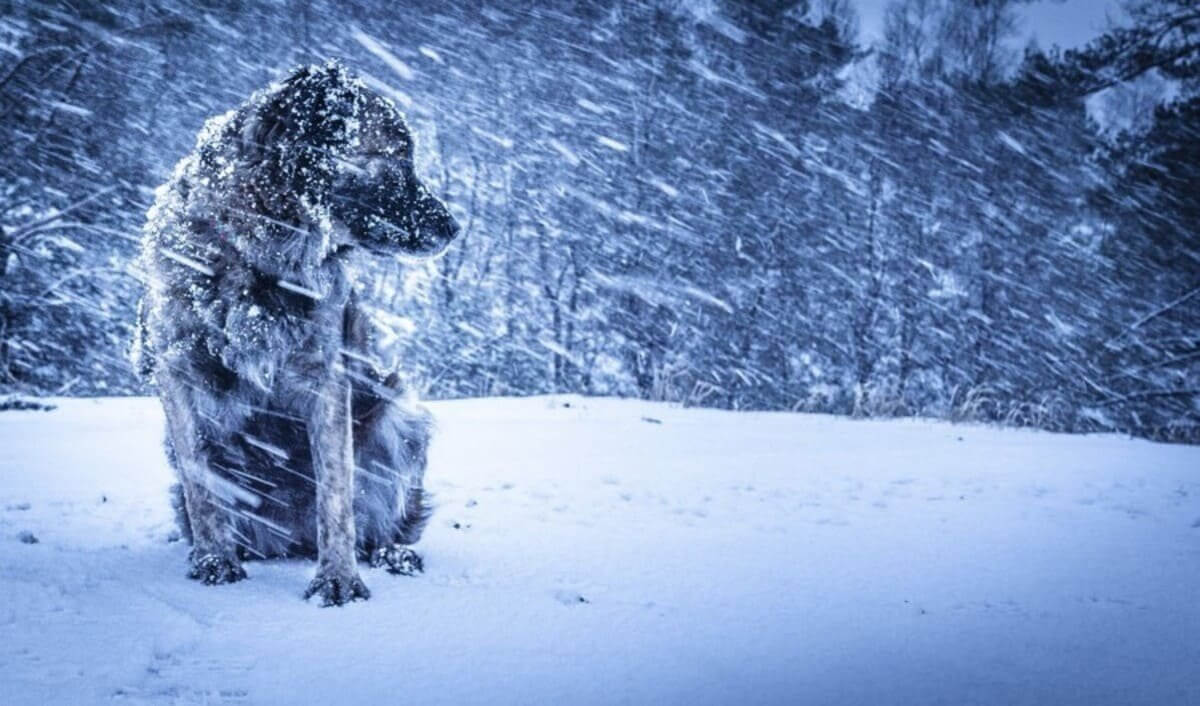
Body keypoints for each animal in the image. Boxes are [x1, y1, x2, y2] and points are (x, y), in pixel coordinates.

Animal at [132, 60, 458, 605]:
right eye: (394, 157)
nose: (454, 227)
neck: (253, 254)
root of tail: (291, 540)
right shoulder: (179, 371)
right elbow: (201, 483)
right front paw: (214, 561)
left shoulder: (325, 377)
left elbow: (336, 494)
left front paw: (338, 578)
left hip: (398, 417)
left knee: (380, 521)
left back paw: (391, 552)